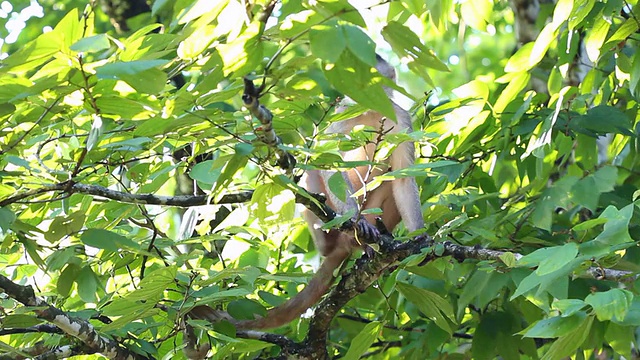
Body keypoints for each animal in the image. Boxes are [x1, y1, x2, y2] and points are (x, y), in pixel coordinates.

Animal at [186, 54, 424, 336]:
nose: (361, 89)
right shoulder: (344, 111)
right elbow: (327, 159)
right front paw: (355, 220)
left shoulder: (402, 117)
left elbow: (404, 178)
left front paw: (420, 238)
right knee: (311, 170)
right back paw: (339, 239)